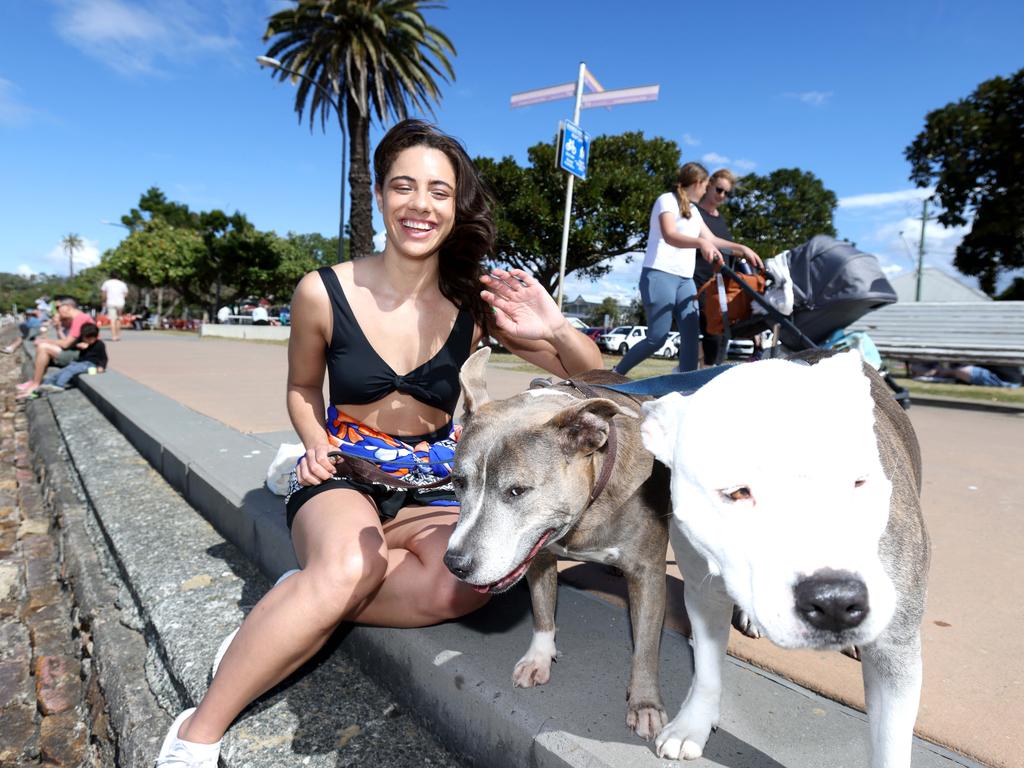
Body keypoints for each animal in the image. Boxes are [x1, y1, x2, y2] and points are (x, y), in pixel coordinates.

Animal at [442, 348, 671, 741]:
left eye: (517, 491)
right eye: (458, 482)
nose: (455, 563)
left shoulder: (649, 574)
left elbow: (646, 645)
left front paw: (644, 703)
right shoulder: (539, 554)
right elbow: (542, 608)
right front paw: (539, 656)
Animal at [643, 350, 933, 768]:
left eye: (859, 482)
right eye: (737, 492)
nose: (835, 600)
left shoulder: (896, 650)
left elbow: (891, 744)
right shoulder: (703, 592)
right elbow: (708, 669)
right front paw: (692, 725)